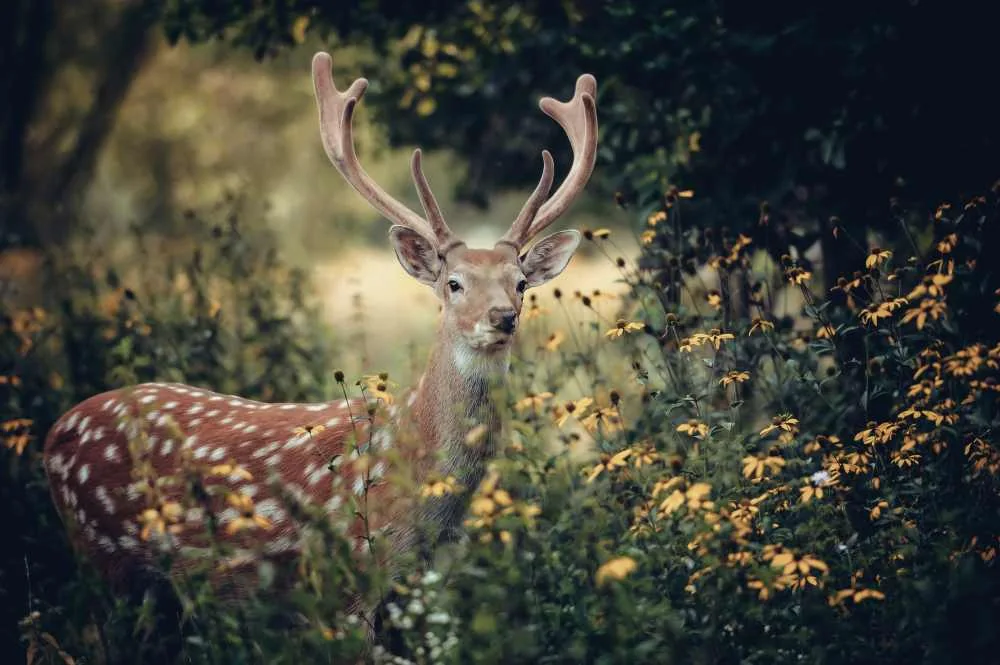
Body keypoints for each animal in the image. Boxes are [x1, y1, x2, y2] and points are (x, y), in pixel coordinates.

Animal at [42, 51, 598, 641]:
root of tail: (53, 435)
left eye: (521, 282)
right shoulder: (347, 583)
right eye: (454, 283)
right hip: (102, 556)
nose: (503, 317)